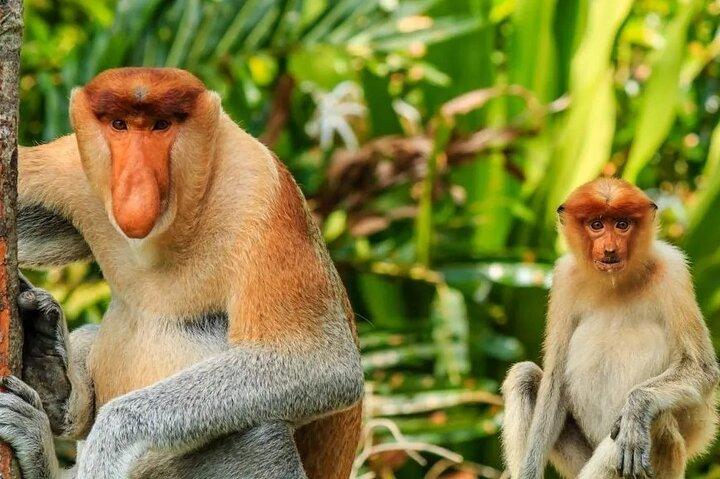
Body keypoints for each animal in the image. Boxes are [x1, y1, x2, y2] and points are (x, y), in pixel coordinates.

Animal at [0, 67, 364, 479]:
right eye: (119, 124)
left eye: (162, 125)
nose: (135, 186)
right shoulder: (72, 167)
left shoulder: (258, 191)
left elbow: (324, 364)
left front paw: (109, 442)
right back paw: (47, 363)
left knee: (261, 433)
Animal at [500, 178, 719, 479]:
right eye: (596, 225)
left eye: (622, 224)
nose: (610, 249)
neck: (616, 284)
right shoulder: (564, 279)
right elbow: (554, 384)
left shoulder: (672, 271)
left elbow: (702, 369)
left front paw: (636, 410)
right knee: (524, 376)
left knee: (657, 416)